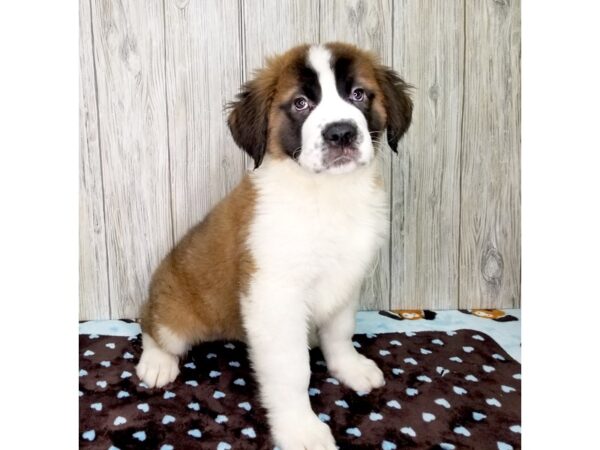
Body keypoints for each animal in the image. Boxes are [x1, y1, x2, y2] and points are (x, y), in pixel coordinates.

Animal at [135, 41, 412, 446]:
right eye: (301, 103)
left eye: (358, 95)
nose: (341, 133)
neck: (326, 195)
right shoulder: (274, 298)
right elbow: (292, 371)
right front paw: (301, 428)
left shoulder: (345, 279)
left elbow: (340, 332)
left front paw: (349, 367)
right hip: (175, 311)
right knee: (153, 327)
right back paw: (156, 361)